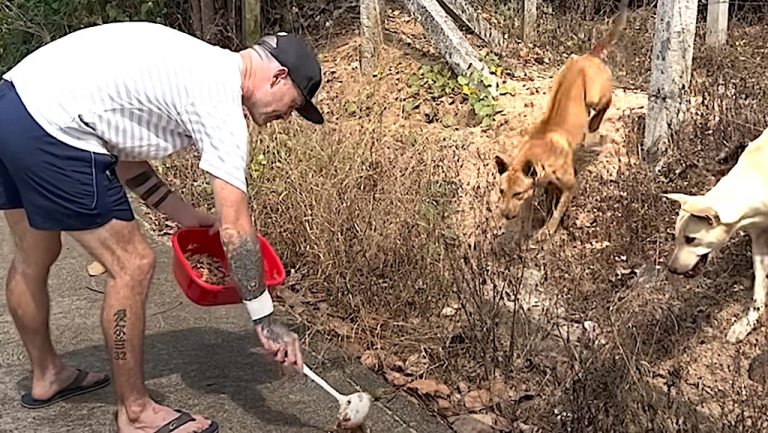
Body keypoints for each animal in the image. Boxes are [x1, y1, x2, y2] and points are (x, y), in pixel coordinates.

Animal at [496, 0, 628, 240]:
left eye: (518, 193)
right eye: (502, 191)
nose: (506, 215)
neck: (539, 154)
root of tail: (589, 55)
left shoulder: (569, 186)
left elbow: (558, 210)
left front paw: (548, 230)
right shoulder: (544, 186)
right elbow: (545, 207)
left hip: (594, 94)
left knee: (607, 100)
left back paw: (594, 124)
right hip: (568, 65)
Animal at [664, 126, 768, 342]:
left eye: (690, 239)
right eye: (676, 238)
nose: (671, 269)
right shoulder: (759, 240)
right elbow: (759, 289)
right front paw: (747, 323)